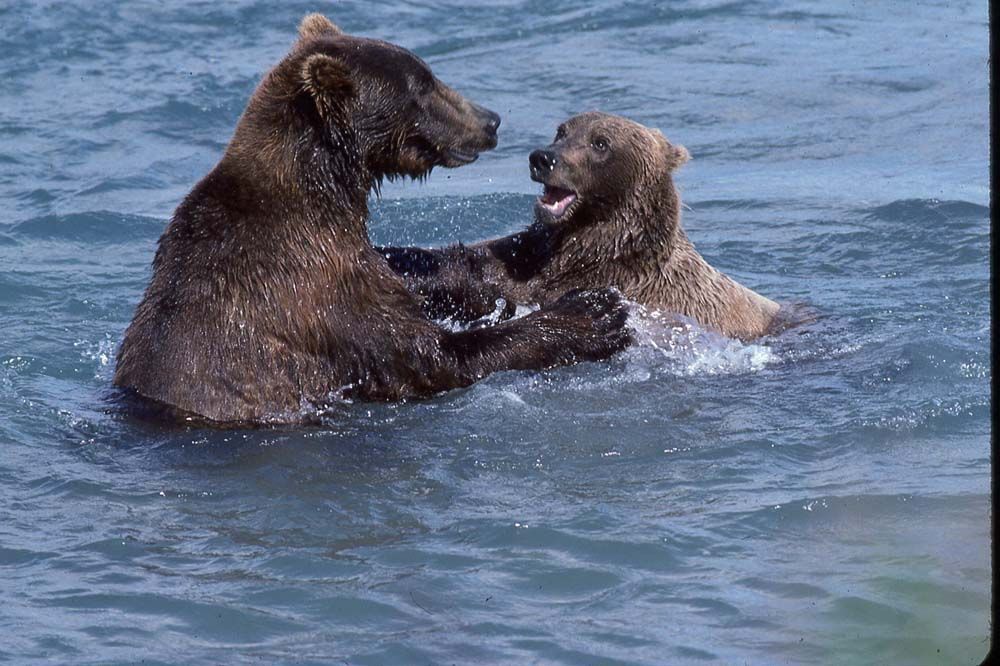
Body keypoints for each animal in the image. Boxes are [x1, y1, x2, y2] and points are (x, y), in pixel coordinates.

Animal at [113, 17, 631, 425]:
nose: (491, 120)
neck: (325, 192)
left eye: (429, 73)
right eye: (422, 86)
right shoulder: (311, 281)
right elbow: (428, 355)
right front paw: (594, 312)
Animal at [379, 112, 782, 341]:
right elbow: (476, 262)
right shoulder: (531, 252)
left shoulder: (611, 279)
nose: (542, 157)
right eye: (562, 131)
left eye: (600, 142)